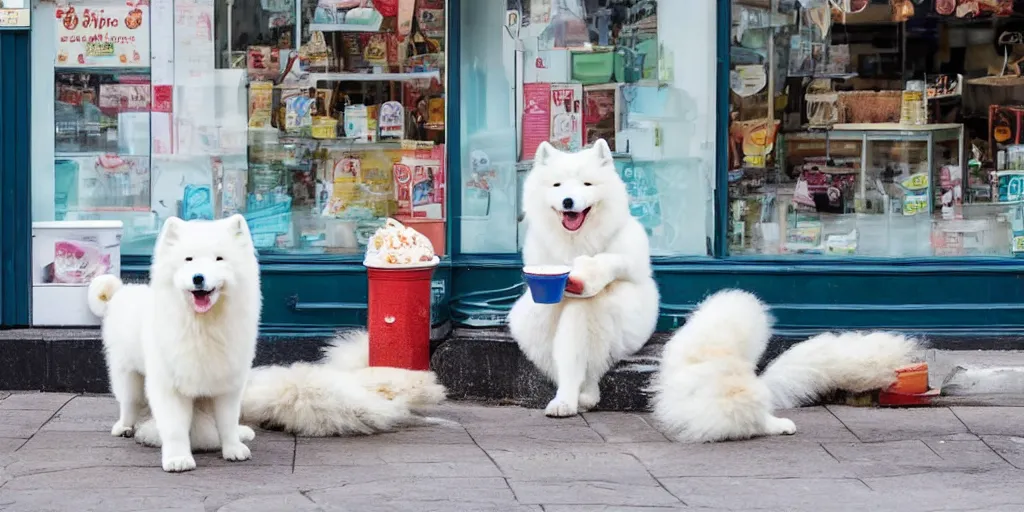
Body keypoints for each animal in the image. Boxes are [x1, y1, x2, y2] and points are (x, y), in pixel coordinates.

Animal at [89, 215, 262, 471]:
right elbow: (174, 428)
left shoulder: (228, 383)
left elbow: (228, 421)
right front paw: (178, 459)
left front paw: (233, 449)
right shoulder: (169, 384)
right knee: (129, 402)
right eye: (188, 259)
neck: (203, 325)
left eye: (219, 259)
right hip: (127, 373)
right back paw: (124, 427)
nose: (198, 278)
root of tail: (122, 291)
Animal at [507, 139, 659, 415]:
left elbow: (614, 262)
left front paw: (588, 272)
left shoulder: (630, 256)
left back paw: (581, 397)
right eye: (557, 185)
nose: (568, 201)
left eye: (587, 184)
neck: (577, 240)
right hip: (527, 321)